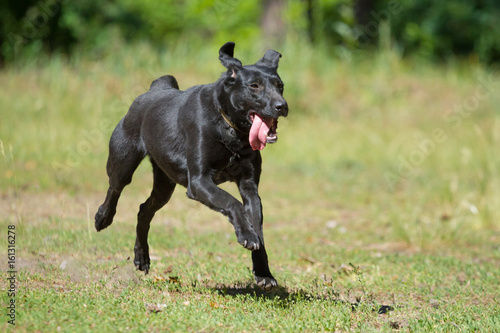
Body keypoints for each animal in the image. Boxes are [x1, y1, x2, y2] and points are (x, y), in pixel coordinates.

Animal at [95, 42, 288, 290]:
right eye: (254, 86)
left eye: (280, 86)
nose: (282, 106)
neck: (229, 129)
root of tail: (154, 89)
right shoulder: (198, 182)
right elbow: (231, 202)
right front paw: (246, 235)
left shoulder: (250, 187)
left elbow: (258, 228)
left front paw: (264, 273)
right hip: (123, 159)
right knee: (115, 187)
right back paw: (103, 218)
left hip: (165, 184)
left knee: (144, 210)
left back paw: (142, 257)